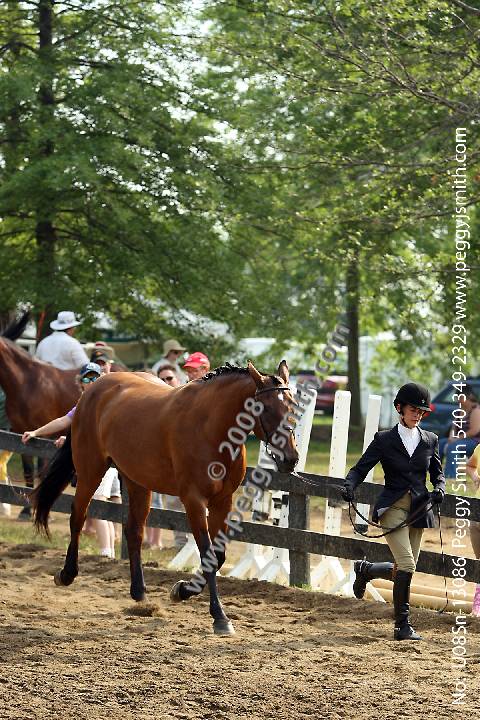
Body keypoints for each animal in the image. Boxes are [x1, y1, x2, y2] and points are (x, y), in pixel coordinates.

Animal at [31, 360, 299, 635]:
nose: (291, 458)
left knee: (134, 531)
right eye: (266, 408)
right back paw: (67, 574)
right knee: (78, 516)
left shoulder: (222, 502)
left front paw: (182, 590)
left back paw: (139, 592)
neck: (211, 428)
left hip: (137, 482)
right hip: (90, 472)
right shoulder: (193, 500)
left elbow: (218, 556)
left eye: (292, 405)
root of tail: (92, 389)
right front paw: (219, 617)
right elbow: (208, 555)